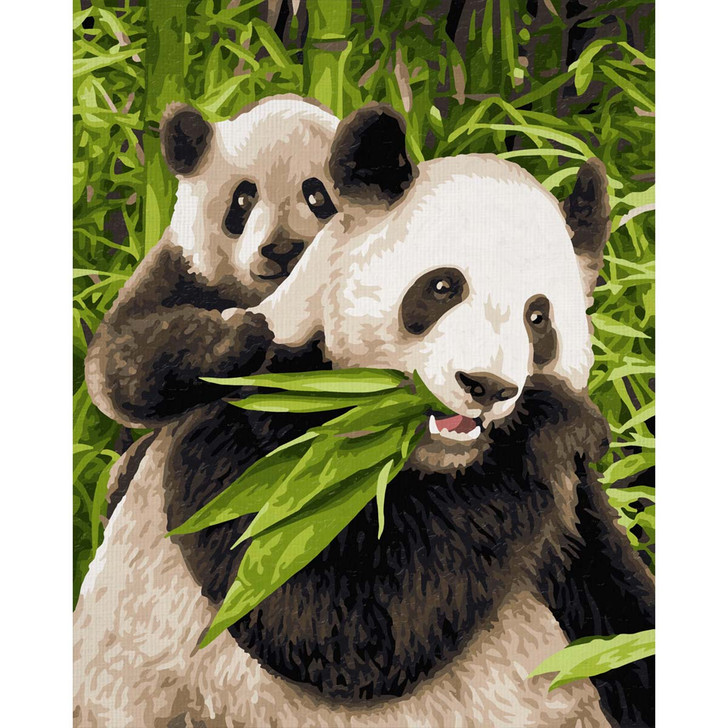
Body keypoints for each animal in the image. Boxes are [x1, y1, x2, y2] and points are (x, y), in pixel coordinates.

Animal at [83, 94, 340, 512]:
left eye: (317, 196)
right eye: (244, 198)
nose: (282, 249)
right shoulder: (183, 270)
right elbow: (119, 360)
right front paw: (240, 334)